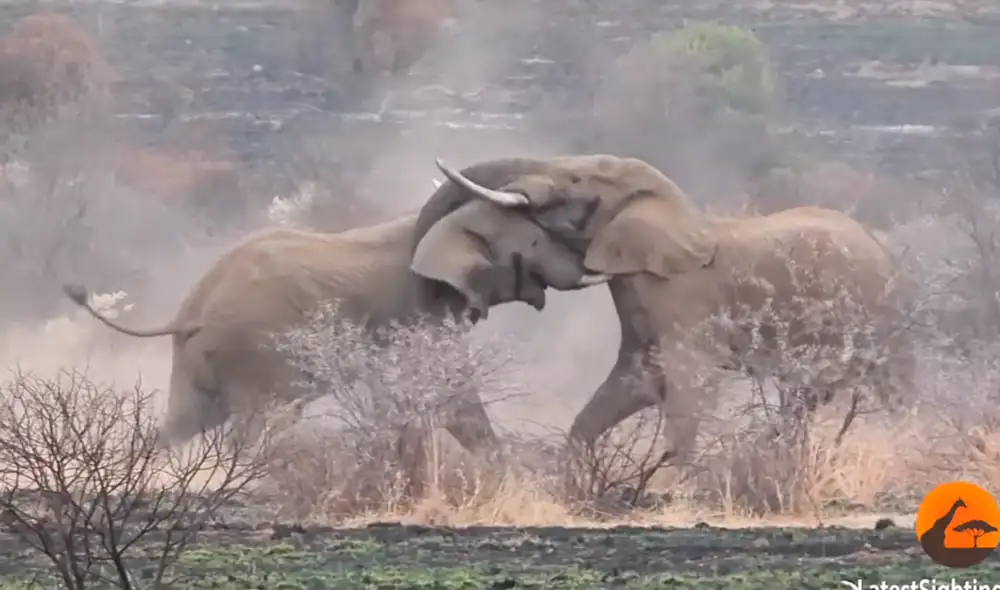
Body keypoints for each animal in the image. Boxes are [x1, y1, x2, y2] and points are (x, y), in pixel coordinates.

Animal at [64, 183, 608, 457]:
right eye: (537, 241)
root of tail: (187, 314)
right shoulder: (420, 311)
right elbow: (452, 393)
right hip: (258, 353)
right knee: (255, 426)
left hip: (200, 362)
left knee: (182, 424)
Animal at [423, 154, 917, 464]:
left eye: (578, 182)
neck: (668, 207)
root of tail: (887, 252)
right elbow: (630, 384)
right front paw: (574, 480)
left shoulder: (684, 298)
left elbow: (687, 384)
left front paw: (667, 491)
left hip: (879, 315)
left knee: (892, 388)